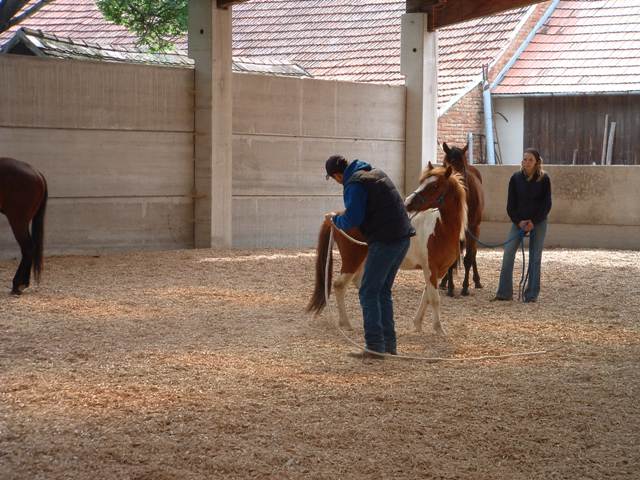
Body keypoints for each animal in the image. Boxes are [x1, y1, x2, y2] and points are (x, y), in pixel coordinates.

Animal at [308, 163, 468, 336]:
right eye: (422, 182)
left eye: (435, 186)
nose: (408, 202)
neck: (441, 229)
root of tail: (337, 217)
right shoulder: (430, 268)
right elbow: (434, 298)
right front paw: (439, 329)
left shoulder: (440, 271)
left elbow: (426, 295)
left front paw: (418, 324)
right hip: (352, 261)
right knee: (339, 286)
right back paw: (346, 323)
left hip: (363, 261)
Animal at [440, 141, 484, 294]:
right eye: (445, 165)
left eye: (462, 166)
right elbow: (452, 259)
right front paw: (450, 288)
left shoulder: (473, 228)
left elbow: (468, 258)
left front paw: (465, 287)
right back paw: (444, 282)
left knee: (473, 253)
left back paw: (477, 281)